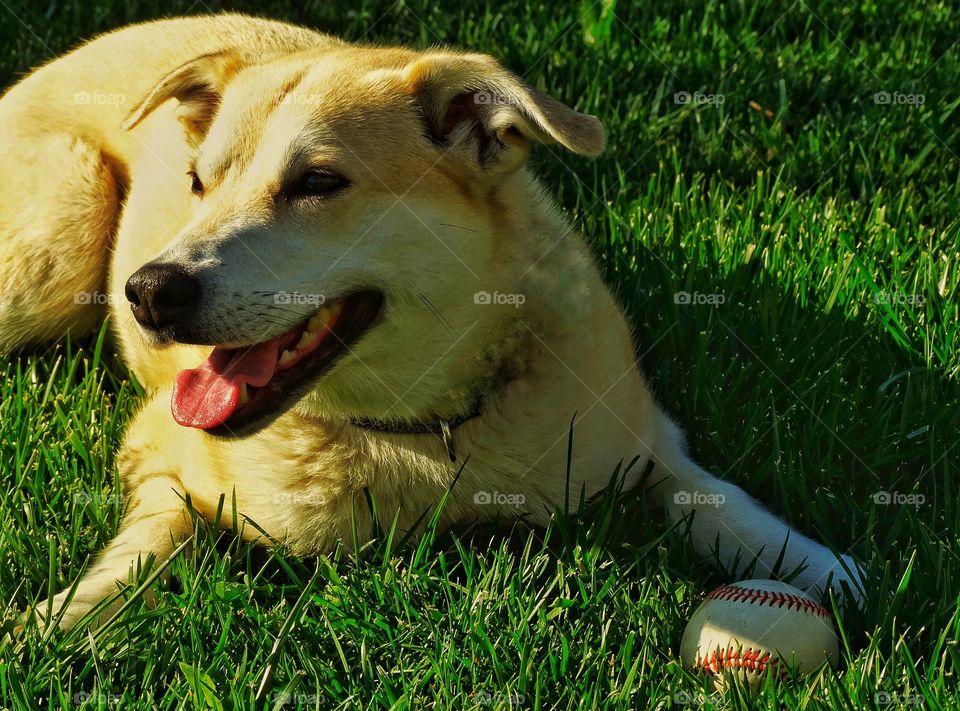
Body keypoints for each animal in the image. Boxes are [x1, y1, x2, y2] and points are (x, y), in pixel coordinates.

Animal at [0, 13, 864, 632]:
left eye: (318, 182)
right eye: (197, 182)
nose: (149, 292)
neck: (425, 429)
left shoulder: (637, 435)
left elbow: (713, 496)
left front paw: (820, 565)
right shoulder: (157, 451)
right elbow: (151, 543)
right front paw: (56, 624)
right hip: (62, 238)